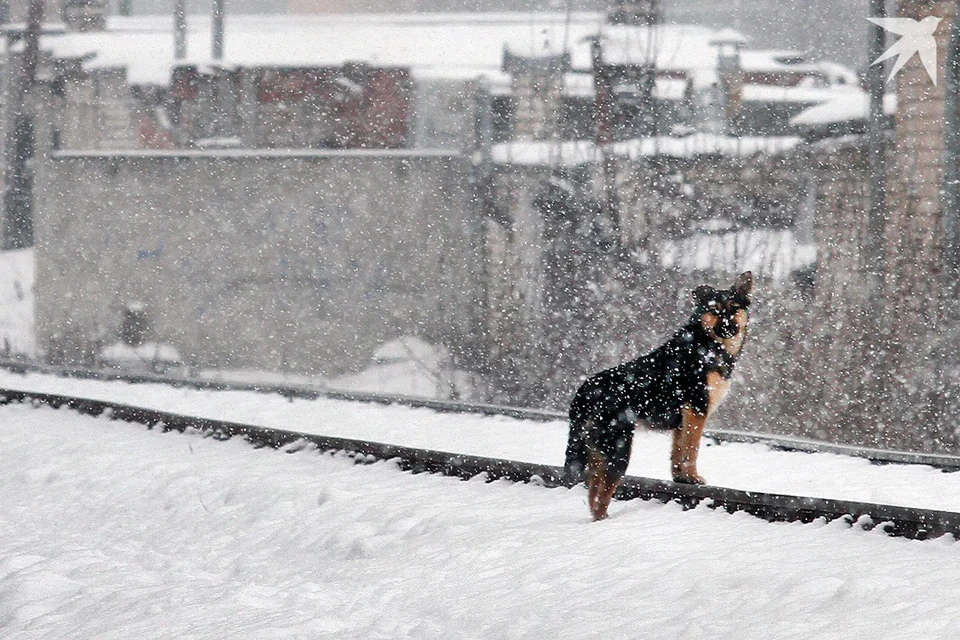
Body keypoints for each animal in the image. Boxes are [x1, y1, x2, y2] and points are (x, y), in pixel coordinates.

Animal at [564, 270, 756, 520]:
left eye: (734, 307)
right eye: (714, 310)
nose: (728, 329)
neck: (708, 344)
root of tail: (585, 390)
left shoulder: (683, 419)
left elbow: (678, 451)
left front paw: (681, 479)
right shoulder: (697, 409)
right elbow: (692, 450)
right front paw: (694, 478)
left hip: (598, 451)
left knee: (594, 494)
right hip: (619, 448)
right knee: (602, 495)